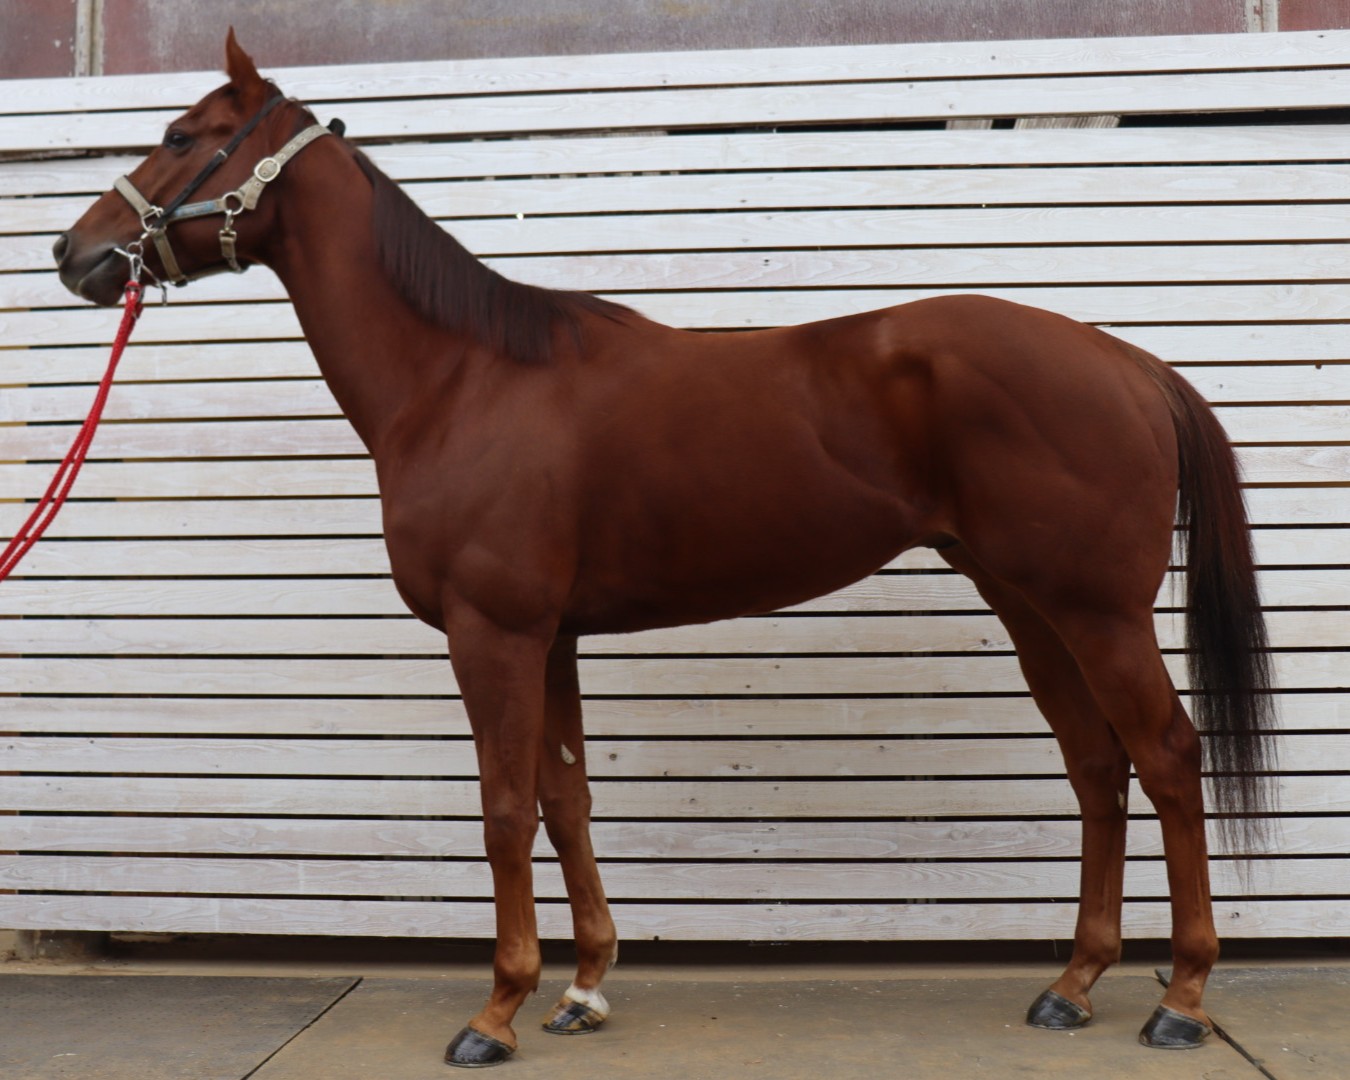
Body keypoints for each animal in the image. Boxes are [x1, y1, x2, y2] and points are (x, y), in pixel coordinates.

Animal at [54, 32, 1276, 1068]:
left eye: (180, 135)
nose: (74, 254)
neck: (462, 381)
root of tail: (1123, 360)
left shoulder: (493, 635)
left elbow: (505, 809)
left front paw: (495, 1012)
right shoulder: (550, 637)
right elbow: (565, 799)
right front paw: (583, 988)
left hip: (1098, 613)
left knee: (1168, 759)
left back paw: (1181, 1000)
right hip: (1033, 607)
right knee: (1099, 769)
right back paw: (1073, 984)